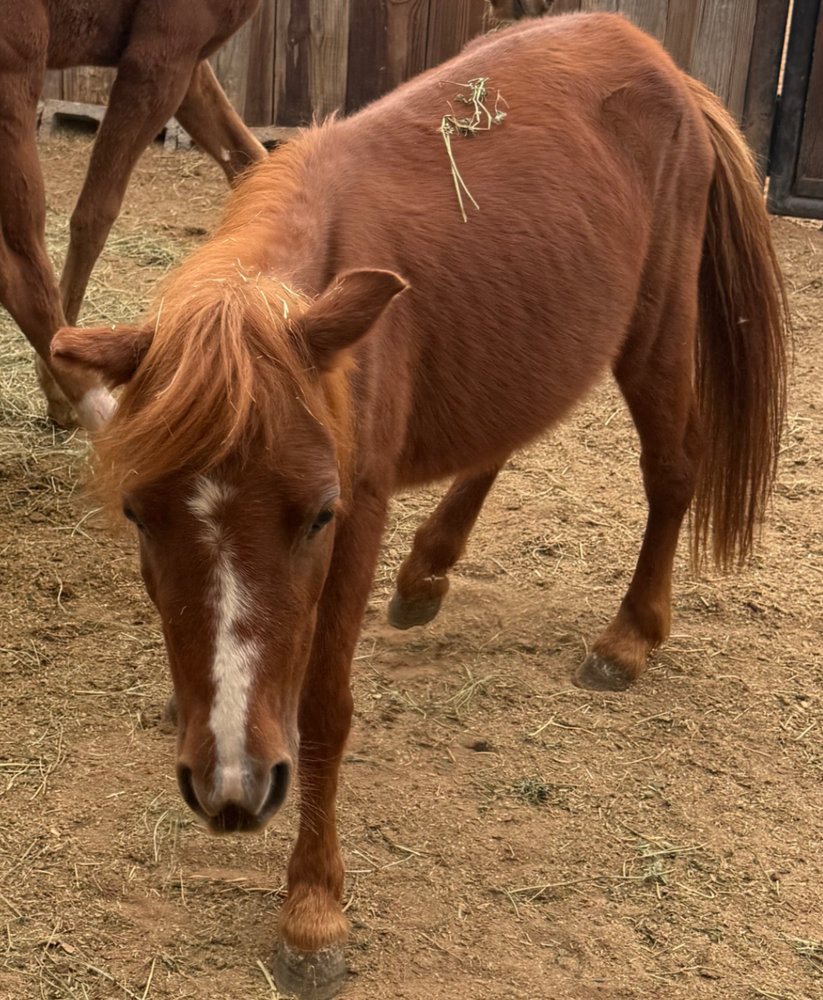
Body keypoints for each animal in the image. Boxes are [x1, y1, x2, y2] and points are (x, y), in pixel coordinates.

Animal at [0, 0, 264, 429]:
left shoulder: (191, 58)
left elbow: (251, 161)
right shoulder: (158, 59)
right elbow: (95, 215)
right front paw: (54, 383)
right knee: (18, 267)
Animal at [51, 12, 789, 998]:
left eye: (318, 515)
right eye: (138, 514)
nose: (233, 789)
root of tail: (663, 65)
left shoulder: (359, 513)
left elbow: (325, 709)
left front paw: (313, 910)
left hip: (655, 328)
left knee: (672, 473)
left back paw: (626, 637)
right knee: (510, 430)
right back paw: (428, 572)